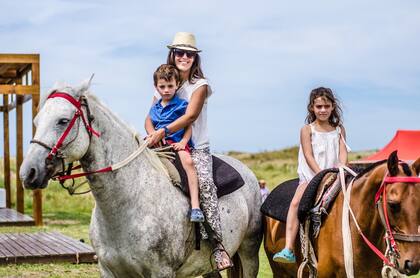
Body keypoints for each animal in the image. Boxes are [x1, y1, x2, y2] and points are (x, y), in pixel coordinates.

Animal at [20, 81, 262, 278]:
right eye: (37, 121)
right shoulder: (109, 271)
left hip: (249, 253)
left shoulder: (161, 272)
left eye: (63, 121)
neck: (129, 202)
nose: (28, 173)